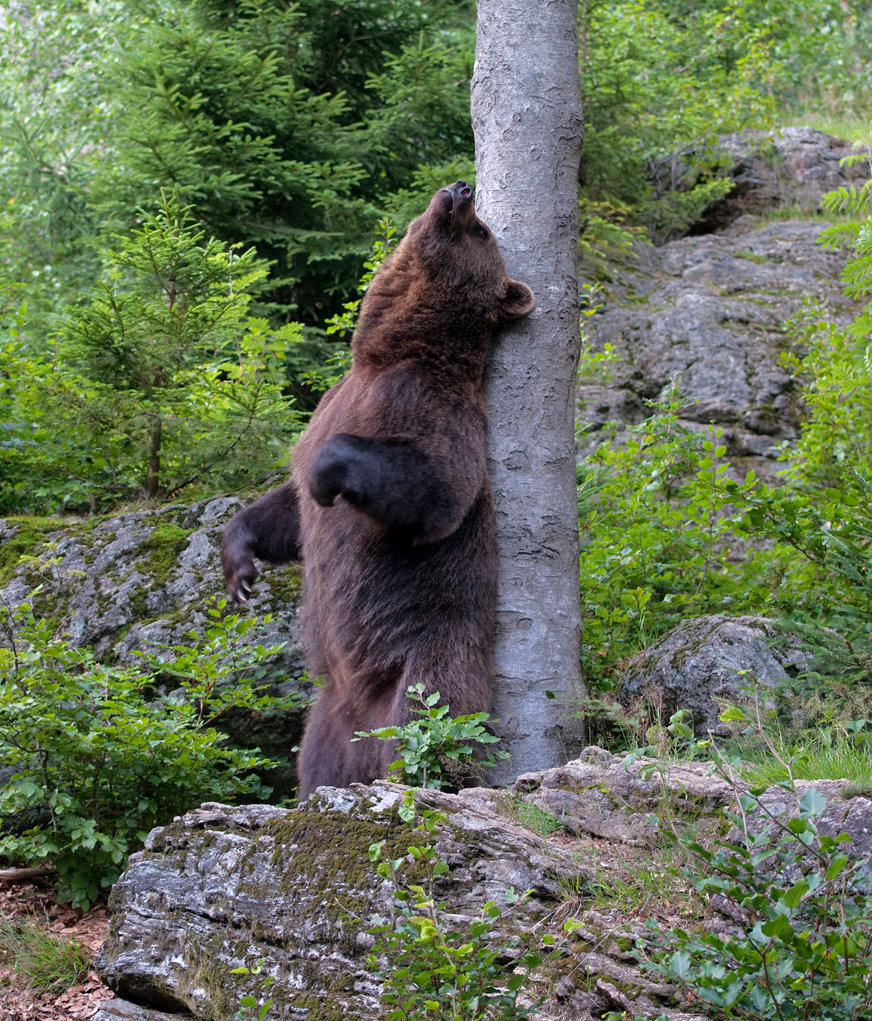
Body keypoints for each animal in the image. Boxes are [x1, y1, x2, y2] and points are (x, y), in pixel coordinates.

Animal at [221, 185, 535, 804]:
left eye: (482, 231)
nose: (461, 191)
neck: (387, 351)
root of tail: (365, 727)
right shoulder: (330, 404)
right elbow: (289, 508)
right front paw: (239, 564)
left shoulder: (430, 406)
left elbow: (437, 491)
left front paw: (328, 476)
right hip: (324, 722)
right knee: (314, 765)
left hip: (431, 659)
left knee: (432, 728)